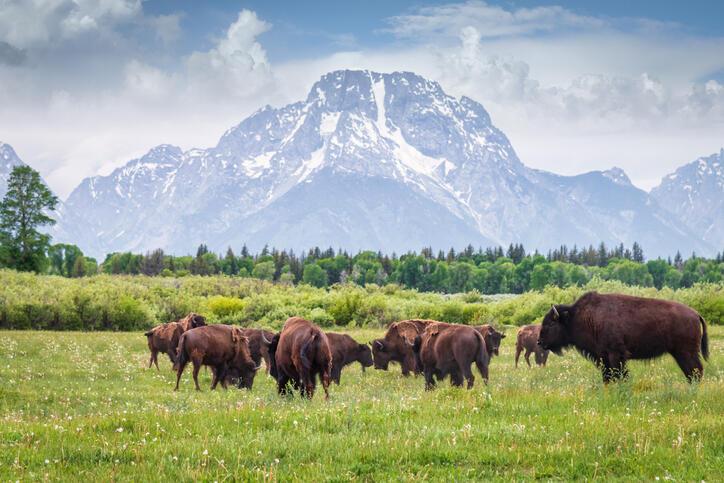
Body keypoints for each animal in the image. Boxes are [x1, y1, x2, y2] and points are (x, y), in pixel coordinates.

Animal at [536, 294, 708, 384]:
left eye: (550, 323)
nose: (540, 342)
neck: (577, 318)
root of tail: (696, 314)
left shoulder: (616, 355)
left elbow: (619, 375)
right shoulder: (603, 357)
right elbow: (607, 376)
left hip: (686, 352)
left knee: (695, 370)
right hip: (680, 354)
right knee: (692, 372)